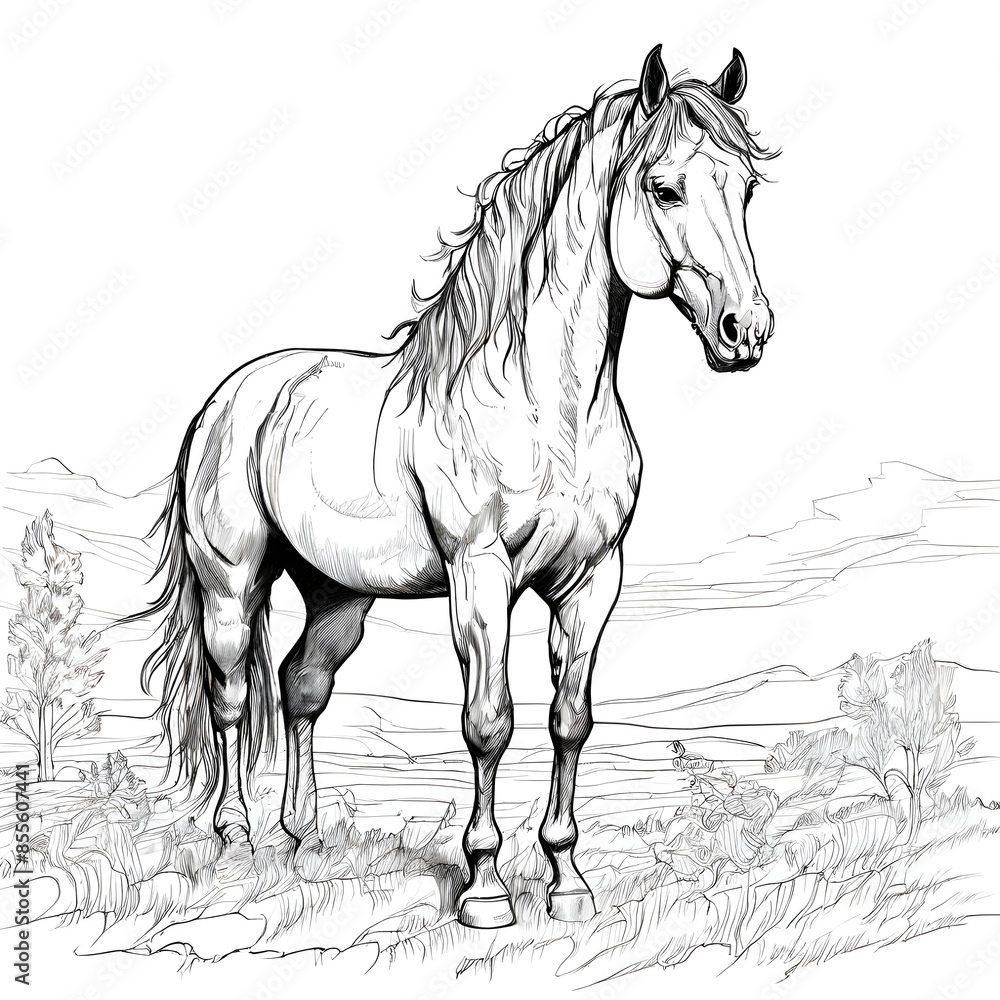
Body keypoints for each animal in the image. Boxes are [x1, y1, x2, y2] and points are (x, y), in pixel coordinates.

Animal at [137, 44, 777, 929]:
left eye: (745, 188)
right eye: (664, 187)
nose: (746, 332)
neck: (547, 409)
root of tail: (229, 399)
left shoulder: (591, 579)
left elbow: (569, 721)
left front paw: (567, 883)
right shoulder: (480, 573)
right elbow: (488, 723)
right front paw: (484, 889)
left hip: (338, 595)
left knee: (300, 686)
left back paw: (304, 841)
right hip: (232, 585)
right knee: (230, 695)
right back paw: (236, 841)